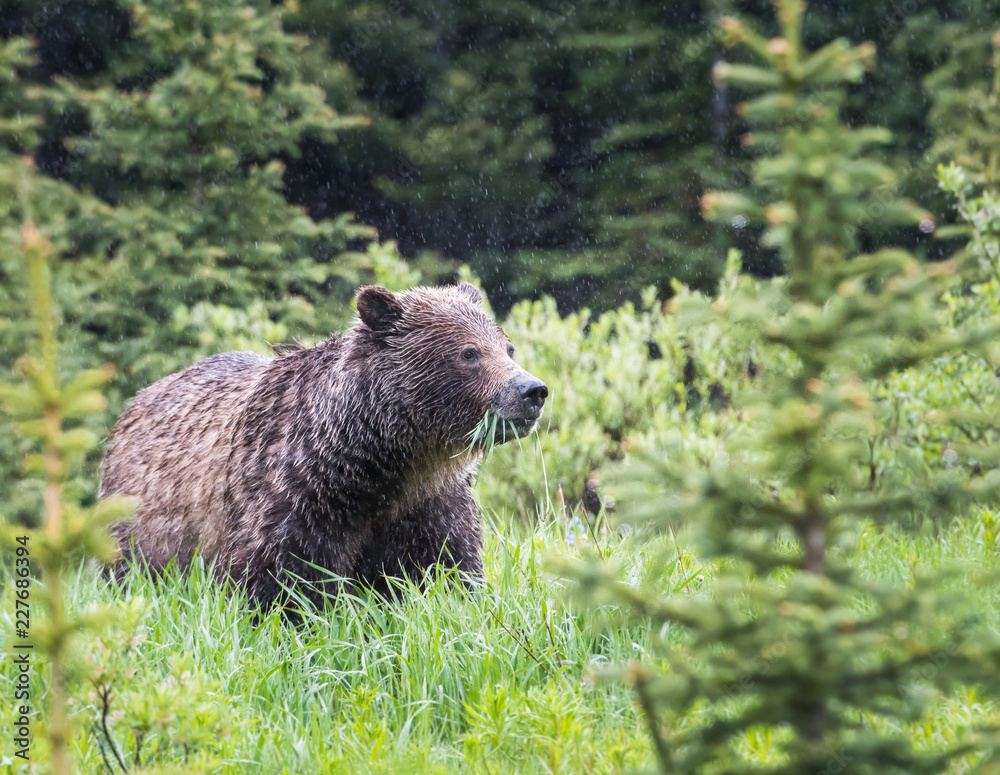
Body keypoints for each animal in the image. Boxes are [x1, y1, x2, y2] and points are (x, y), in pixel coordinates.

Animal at [98, 283, 547, 607]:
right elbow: (285, 583)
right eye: (469, 353)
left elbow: (449, 570)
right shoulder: (293, 502)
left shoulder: (431, 503)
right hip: (139, 526)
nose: (532, 390)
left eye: (507, 347)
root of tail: (136, 402)